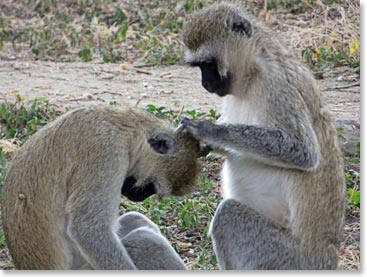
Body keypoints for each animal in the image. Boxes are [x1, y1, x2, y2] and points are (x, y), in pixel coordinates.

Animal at [1, 105, 201, 268]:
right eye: (151, 187)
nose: (139, 197)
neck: (124, 127)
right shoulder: (106, 153)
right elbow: (88, 230)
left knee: (136, 220)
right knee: (145, 240)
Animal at [183, 3, 346, 268]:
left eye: (207, 64)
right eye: (198, 66)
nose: (205, 84)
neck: (252, 70)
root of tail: (326, 261)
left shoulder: (276, 86)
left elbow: (303, 151)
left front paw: (207, 130)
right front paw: (204, 143)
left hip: (283, 259)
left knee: (228, 215)